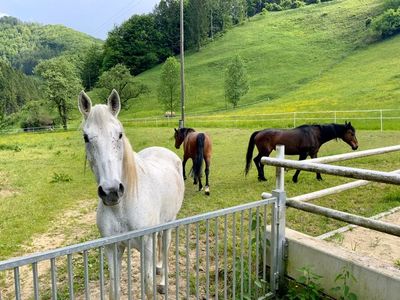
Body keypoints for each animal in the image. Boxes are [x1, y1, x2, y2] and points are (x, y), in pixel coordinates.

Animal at [77, 89, 184, 300]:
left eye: (119, 134)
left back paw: (163, 282)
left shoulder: (146, 246)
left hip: (169, 223)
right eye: (86, 137)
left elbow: (148, 287)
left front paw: (156, 284)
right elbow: (114, 289)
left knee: (165, 248)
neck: (122, 208)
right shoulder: (113, 248)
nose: (111, 191)